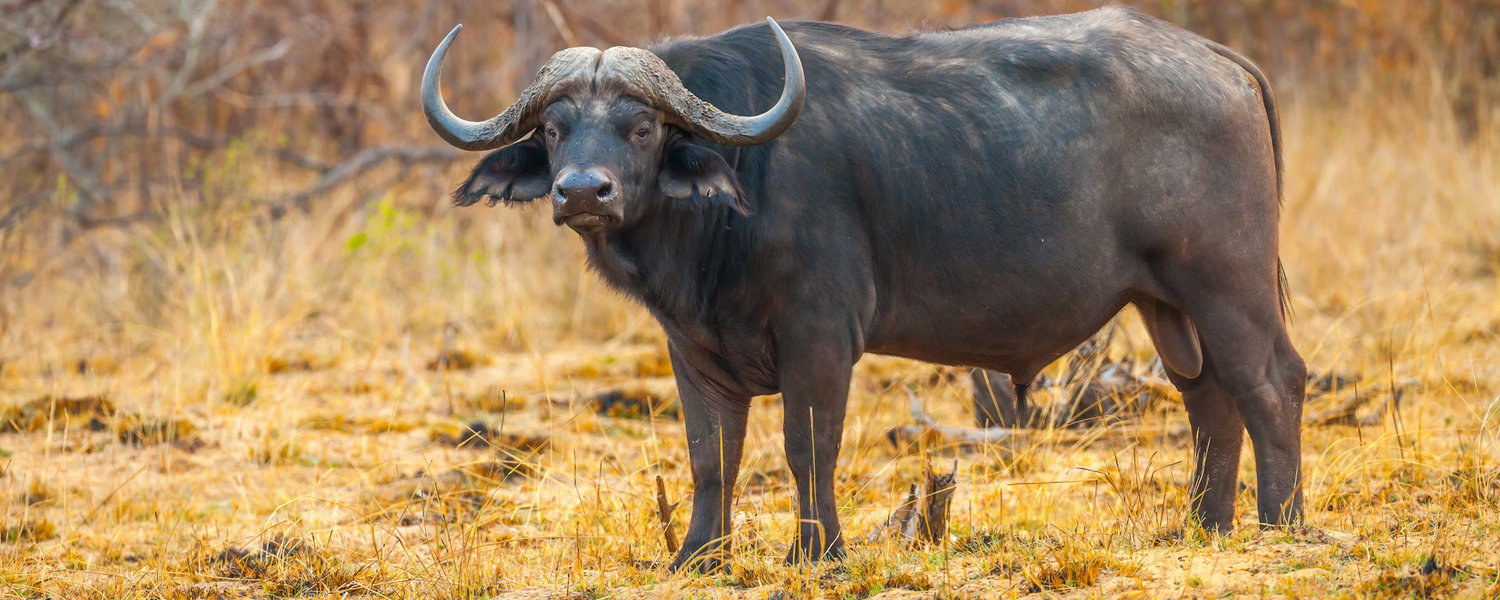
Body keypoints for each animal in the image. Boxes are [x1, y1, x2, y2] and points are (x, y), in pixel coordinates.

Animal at [420, 7, 1305, 571]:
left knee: (1271, 384)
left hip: (1226, 284)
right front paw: (698, 557)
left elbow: (808, 446)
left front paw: (816, 552)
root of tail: (1220, 62)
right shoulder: (693, 351)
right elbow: (712, 456)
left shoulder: (819, 337)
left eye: (641, 128)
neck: (738, 193)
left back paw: (1280, 524)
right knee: (1208, 398)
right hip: (1167, 305)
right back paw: (1204, 528)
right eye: (554, 129)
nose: (582, 193)